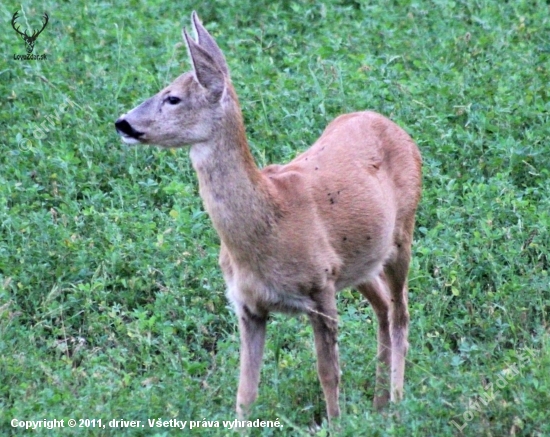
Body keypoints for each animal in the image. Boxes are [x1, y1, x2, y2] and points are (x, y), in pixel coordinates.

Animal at [115, 11, 422, 418]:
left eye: (173, 97)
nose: (123, 123)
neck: (268, 224)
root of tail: (394, 126)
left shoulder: (320, 287)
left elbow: (329, 374)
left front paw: (337, 423)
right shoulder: (247, 305)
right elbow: (245, 391)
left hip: (402, 233)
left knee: (401, 313)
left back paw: (398, 403)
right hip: (360, 263)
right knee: (384, 308)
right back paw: (379, 403)